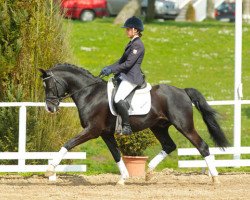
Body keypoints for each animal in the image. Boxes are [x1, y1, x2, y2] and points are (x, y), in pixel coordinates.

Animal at [39, 63, 229, 184]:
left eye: (49, 85)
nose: (49, 108)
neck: (90, 93)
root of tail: (182, 91)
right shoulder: (105, 133)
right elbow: (116, 154)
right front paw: (123, 178)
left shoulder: (92, 130)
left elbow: (68, 144)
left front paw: (50, 169)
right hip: (158, 126)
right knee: (169, 145)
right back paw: (149, 172)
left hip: (184, 126)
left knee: (202, 146)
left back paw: (215, 178)